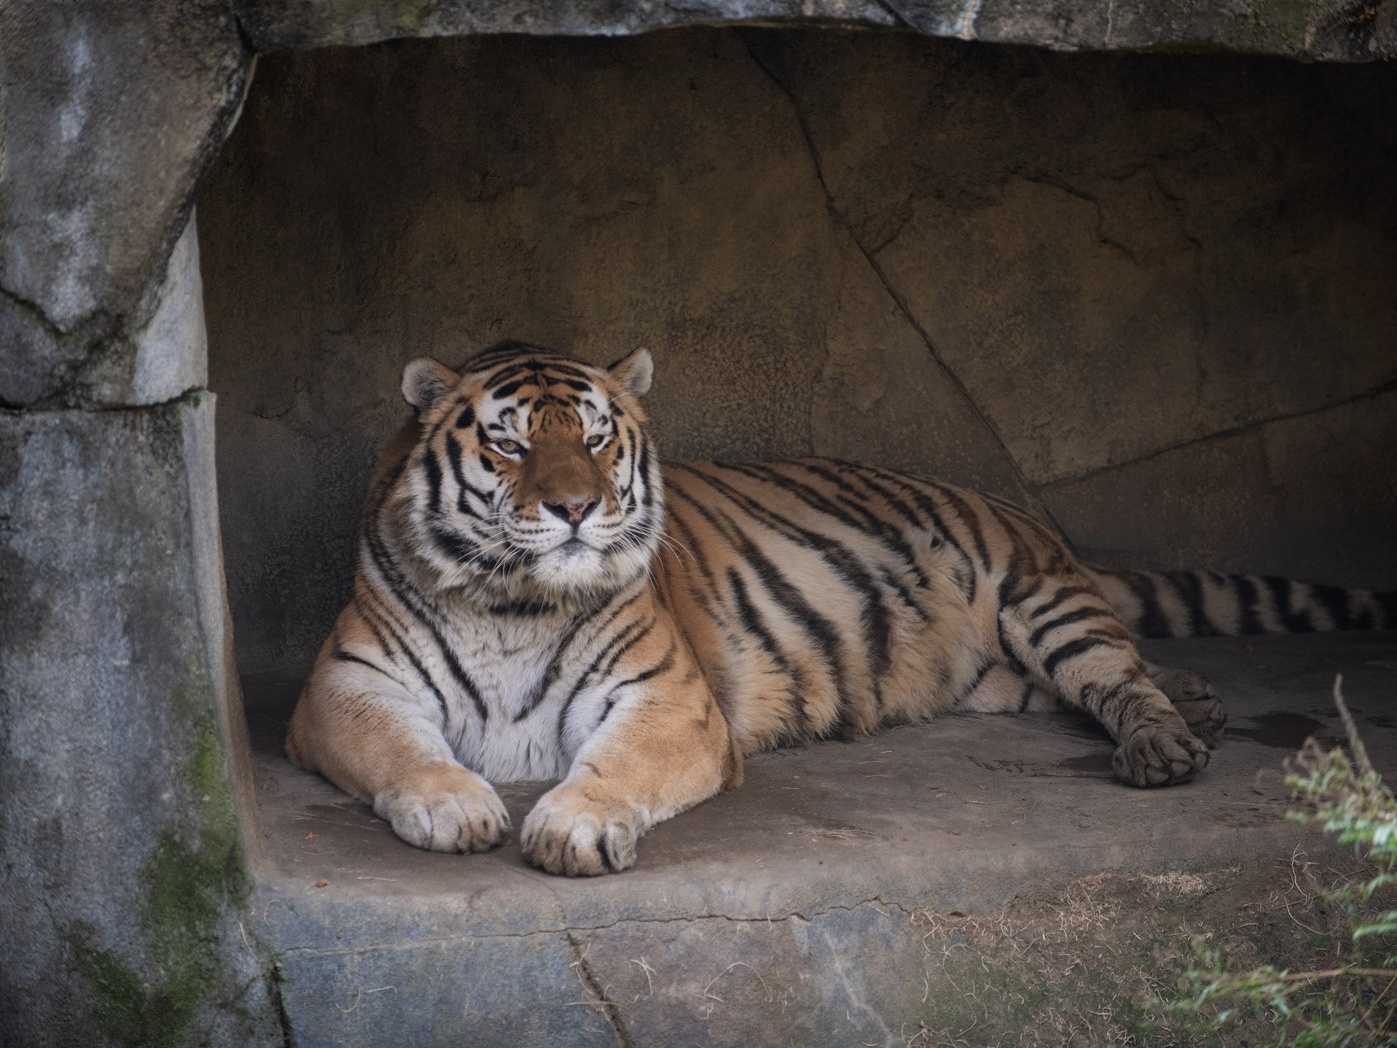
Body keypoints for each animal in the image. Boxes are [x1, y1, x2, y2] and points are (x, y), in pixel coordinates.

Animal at [286, 345, 1397, 877]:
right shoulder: (345, 686)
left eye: (597, 439)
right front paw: (456, 802)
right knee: (1093, 682)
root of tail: (1012, 509)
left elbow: (613, 770)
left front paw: (572, 825)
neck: (516, 600)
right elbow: (402, 751)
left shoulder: (668, 698)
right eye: (512, 444)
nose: (573, 508)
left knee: (1116, 676)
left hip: (1041, 600)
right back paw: (1199, 701)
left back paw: (1168, 743)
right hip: (998, 678)